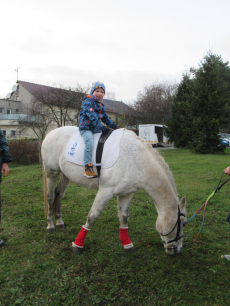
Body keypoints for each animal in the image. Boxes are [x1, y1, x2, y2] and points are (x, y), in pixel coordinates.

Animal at [41, 126, 186, 256]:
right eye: (182, 224)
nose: (177, 251)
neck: (136, 159)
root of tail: (50, 134)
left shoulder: (127, 193)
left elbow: (124, 218)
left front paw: (127, 244)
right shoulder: (106, 191)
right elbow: (92, 216)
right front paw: (77, 245)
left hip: (66, 175)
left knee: (59, 194)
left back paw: (59, 222)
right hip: (52, 172)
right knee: (50, 196)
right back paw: (50, 225)